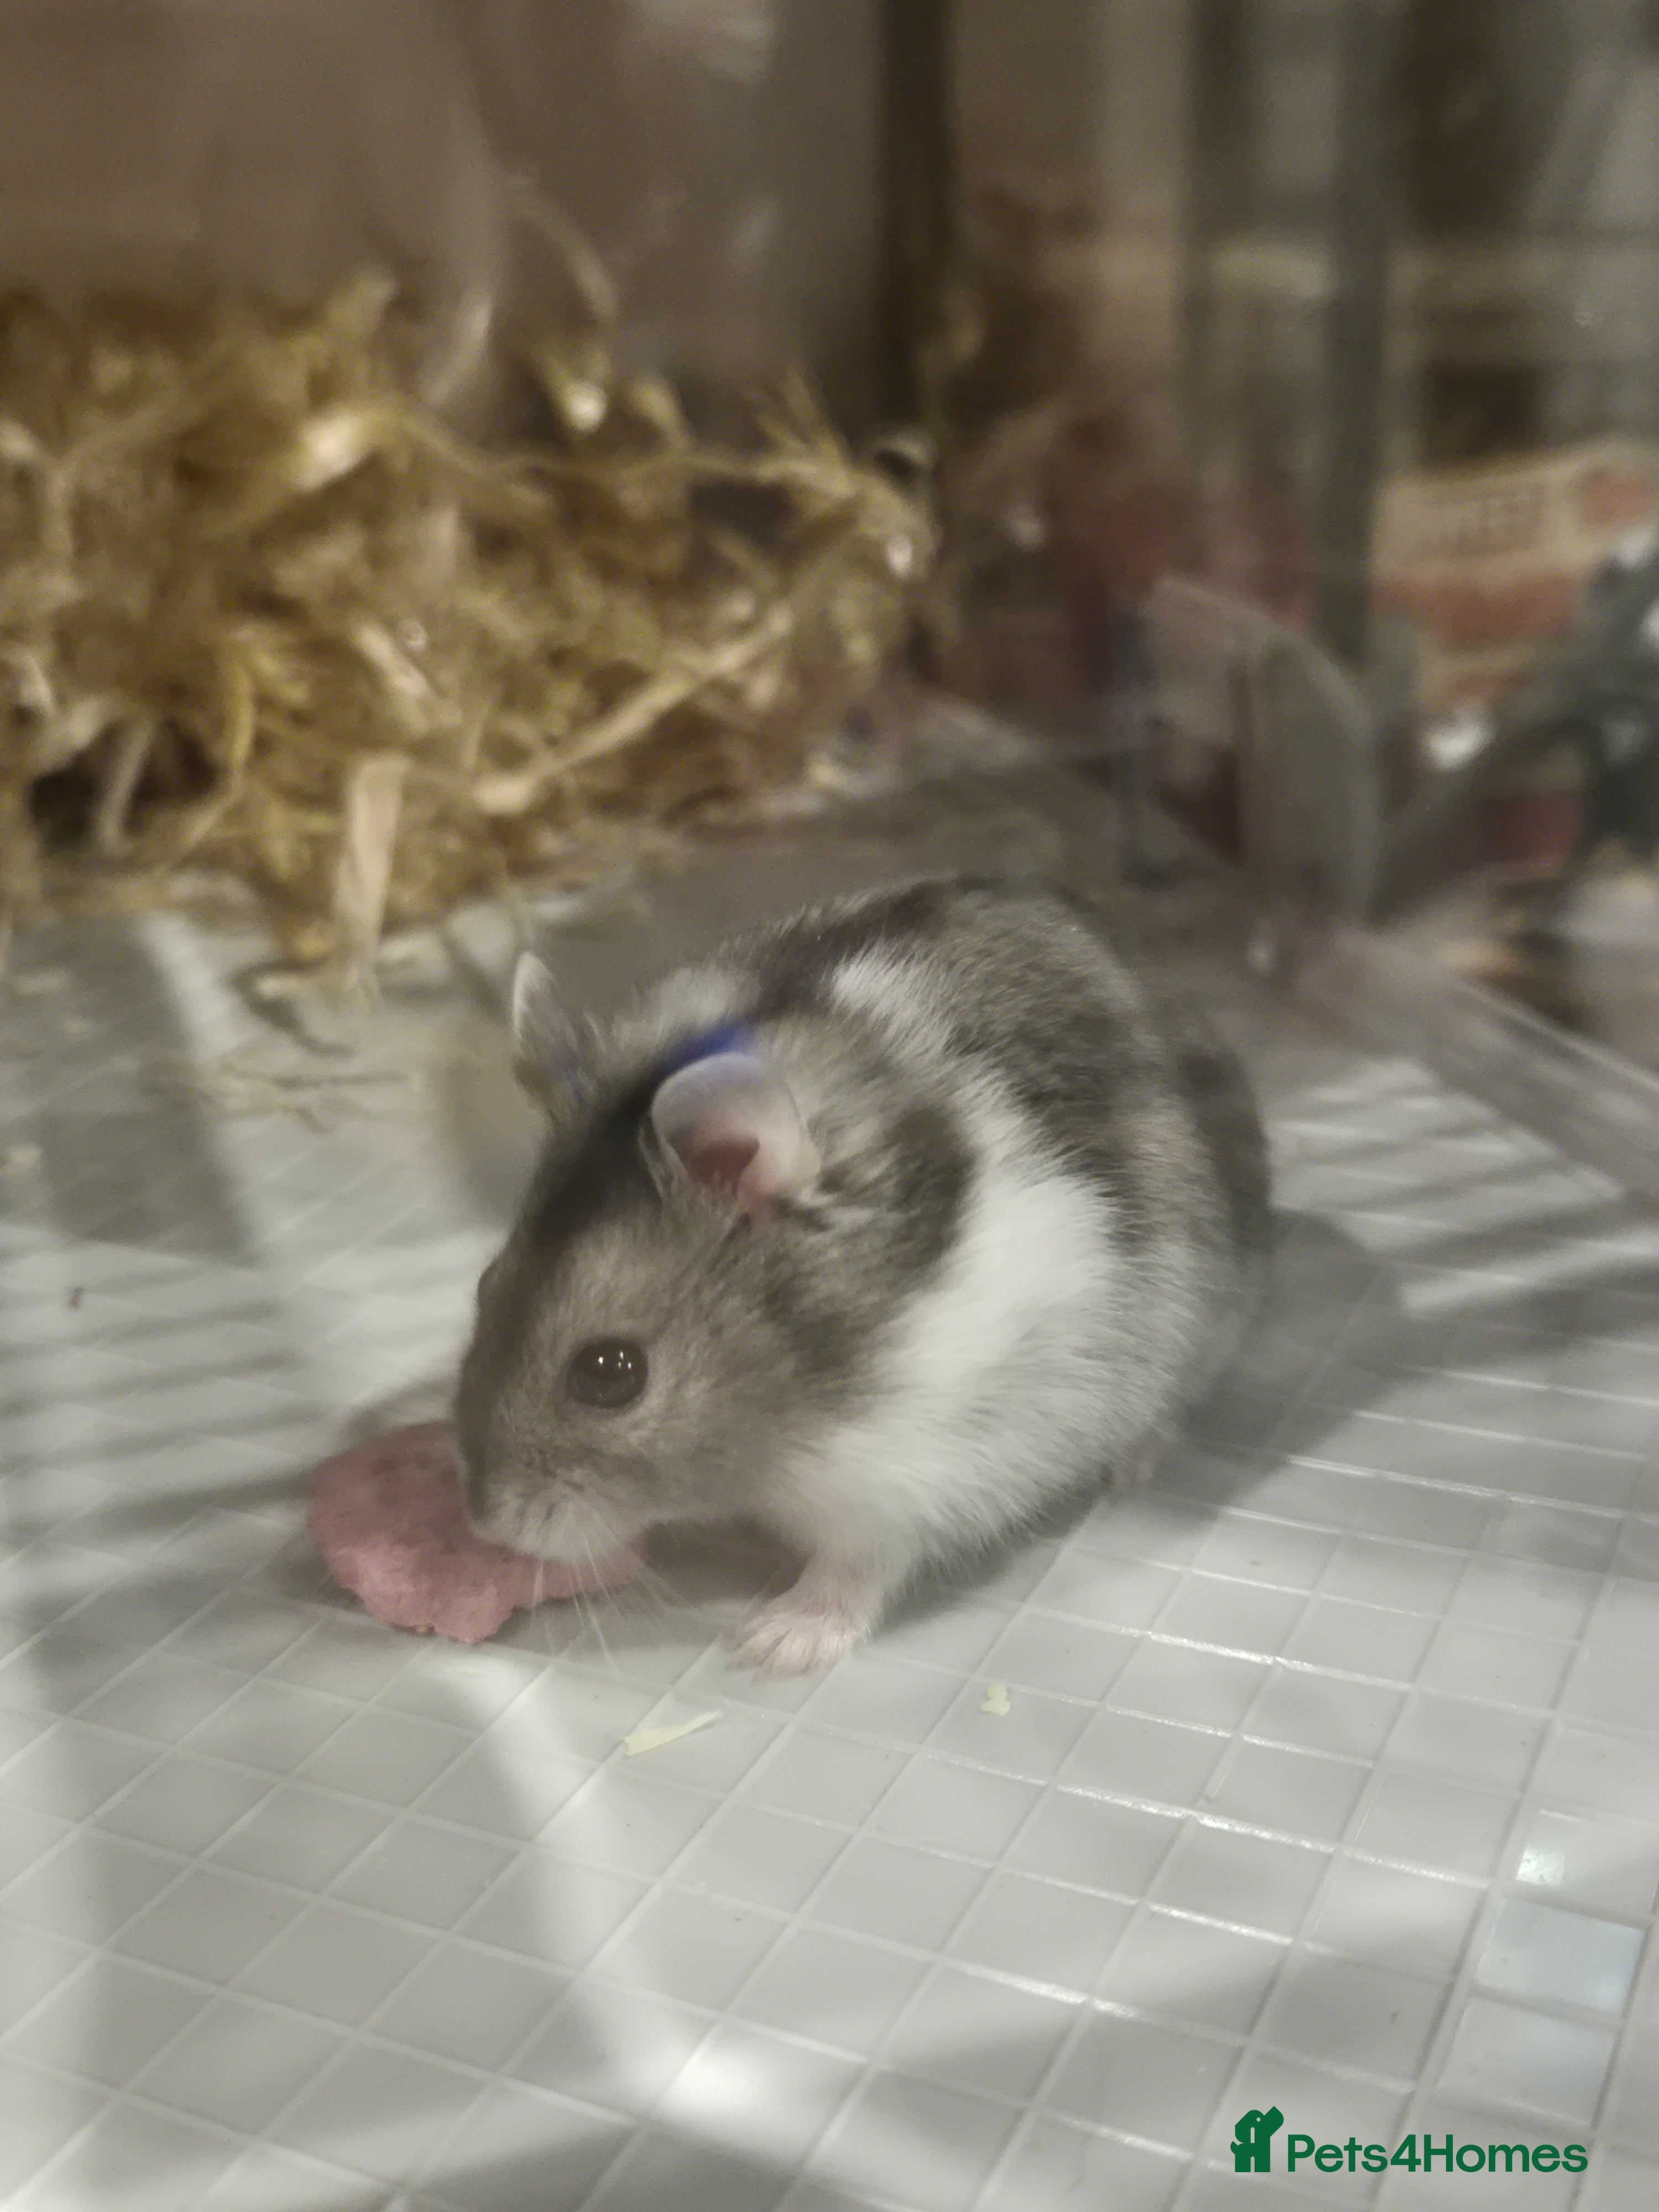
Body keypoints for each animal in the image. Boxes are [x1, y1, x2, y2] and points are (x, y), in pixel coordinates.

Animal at [453, 875, 1271, 1673]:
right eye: (485, 1287)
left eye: (611, 1371)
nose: (487, 1526)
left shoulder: (910, 1475)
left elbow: (856, 1566)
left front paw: (771, 1645)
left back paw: (1129, 1467)